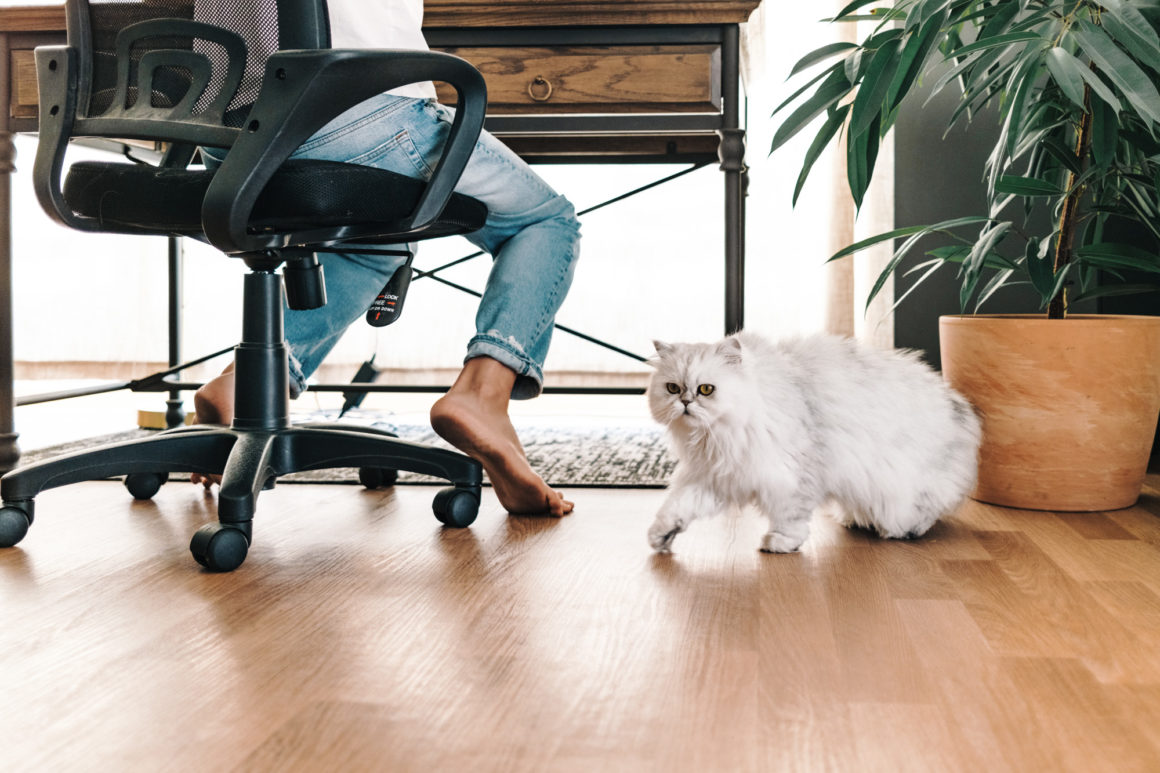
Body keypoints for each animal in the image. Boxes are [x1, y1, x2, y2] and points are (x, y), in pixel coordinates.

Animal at [649, 327, 983, 550]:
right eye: (672, 388)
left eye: (706, 390)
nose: (685, 403)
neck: (715, 437)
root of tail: (960, 407)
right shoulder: (716, 476)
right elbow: (677, 507)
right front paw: (660, 536)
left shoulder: (794, 473)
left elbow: (791, 516)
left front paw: (781, 543)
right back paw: (856, 520)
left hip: (908, 484)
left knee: (927, 508)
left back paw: (904, 530)